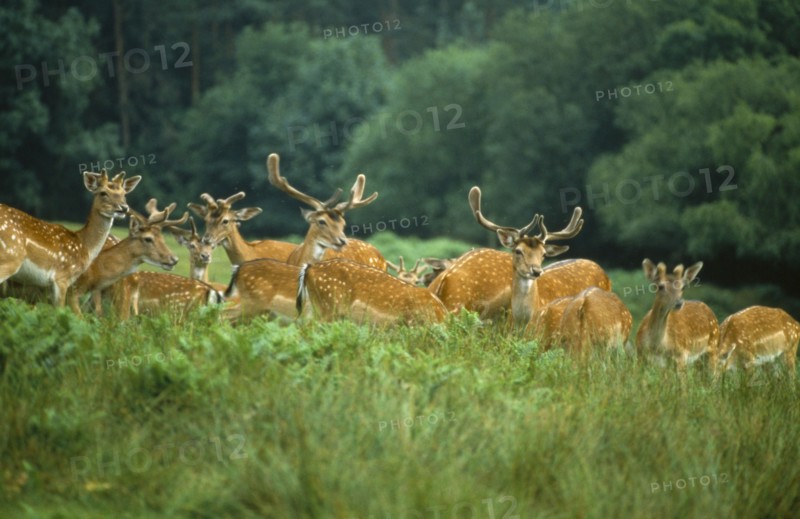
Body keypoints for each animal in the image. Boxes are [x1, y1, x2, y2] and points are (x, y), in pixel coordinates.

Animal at [0, 170, 141, 308]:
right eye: (103, 193)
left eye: (124, 194)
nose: (124, 207)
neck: (84, 245)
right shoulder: (62, 277)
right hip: (10, 257)